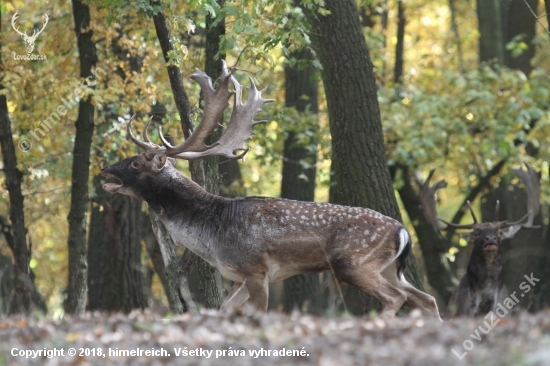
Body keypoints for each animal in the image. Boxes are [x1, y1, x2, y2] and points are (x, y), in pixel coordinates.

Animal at [101, 60, 442, 318]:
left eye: (136, 163)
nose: (105, 169)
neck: (211, 235)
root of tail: (403, 231)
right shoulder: (237, 276)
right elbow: (224, 310)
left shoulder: (256, 270)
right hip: (390, 268)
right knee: (427, 298)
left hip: (354, 262)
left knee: (397, 297)